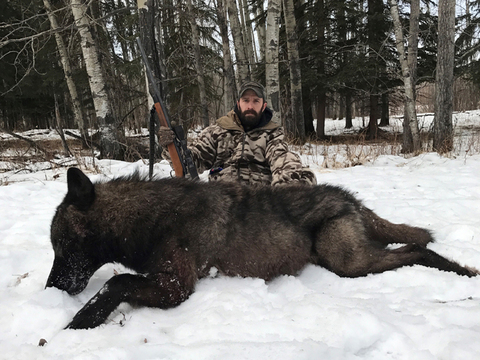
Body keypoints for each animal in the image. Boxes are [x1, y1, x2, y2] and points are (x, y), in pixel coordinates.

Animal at [45, 167, 476, 328]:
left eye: (63, 245)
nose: (50, 290)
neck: (148, 220)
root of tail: (350, 198)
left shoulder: (176, 287)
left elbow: (114, 283)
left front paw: (79, 321)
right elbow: (115, 282)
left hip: (347, 261)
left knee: (417, 251)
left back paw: (462, 272)